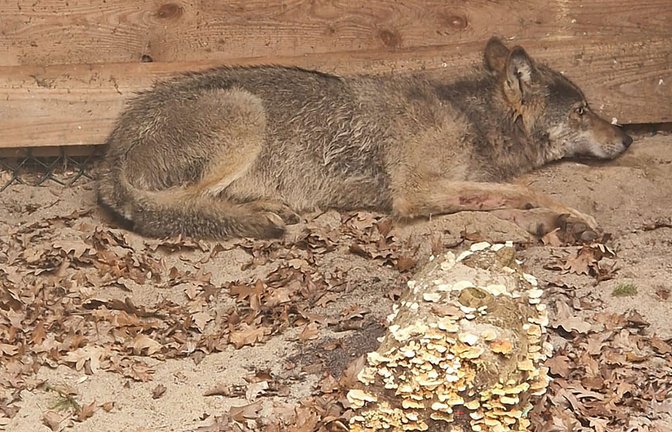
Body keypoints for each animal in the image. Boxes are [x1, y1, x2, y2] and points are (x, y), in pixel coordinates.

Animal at [97, 37, 632, 240]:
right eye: (583, 111)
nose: (627, 138)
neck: (470, 118)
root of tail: (109, 154)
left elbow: (506, 196)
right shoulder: (414, 192)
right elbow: (528, 189)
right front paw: (574, 216)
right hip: (246, 113)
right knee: (179, 207)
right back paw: (259, 215)